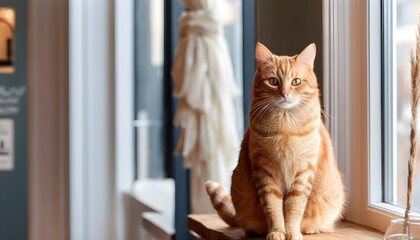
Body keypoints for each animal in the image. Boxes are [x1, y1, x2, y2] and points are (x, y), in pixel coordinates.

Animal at [205, 43, 346, 240]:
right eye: (273, 81)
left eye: (296, 82)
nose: (285, 94)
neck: (285, 127)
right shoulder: (265, 174)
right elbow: (273, 209)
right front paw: (277, 232)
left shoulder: (303, 173)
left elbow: (294, 208)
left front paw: (292, 232)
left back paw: (311, 229)